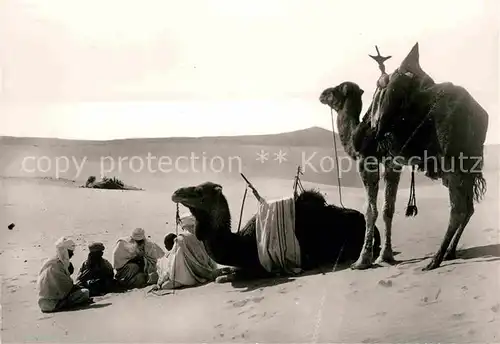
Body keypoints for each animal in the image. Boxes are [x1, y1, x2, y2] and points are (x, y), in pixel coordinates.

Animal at [320, 43, 488, 272]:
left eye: (336, 90)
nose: (322, 94)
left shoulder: (367, 160)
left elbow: (370, 210)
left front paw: (362, 261)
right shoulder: (394, 163)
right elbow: (388, 209)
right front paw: (385, 256)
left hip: (451, 161)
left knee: (458, 209)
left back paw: (435, 260)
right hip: (468, 166)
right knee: (469, 207)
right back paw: (450, 252)